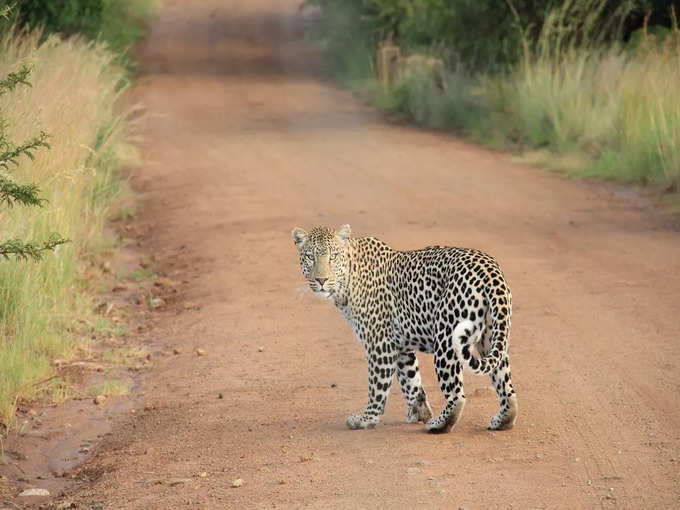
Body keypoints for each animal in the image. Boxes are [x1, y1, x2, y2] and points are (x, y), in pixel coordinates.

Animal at [290, 225, 516, 432]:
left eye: (333, 257)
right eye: (310, 257)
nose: (321, 280)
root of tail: (490, 270)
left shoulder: (379, 344)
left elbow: (377, 385)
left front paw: (366, 419)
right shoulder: (401, 347)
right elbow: (411, 381)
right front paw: (419, 413)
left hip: (447, 340)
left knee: (457, 394)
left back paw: (439, 424)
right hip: (492, 337)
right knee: (506, 385)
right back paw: (503, 420)